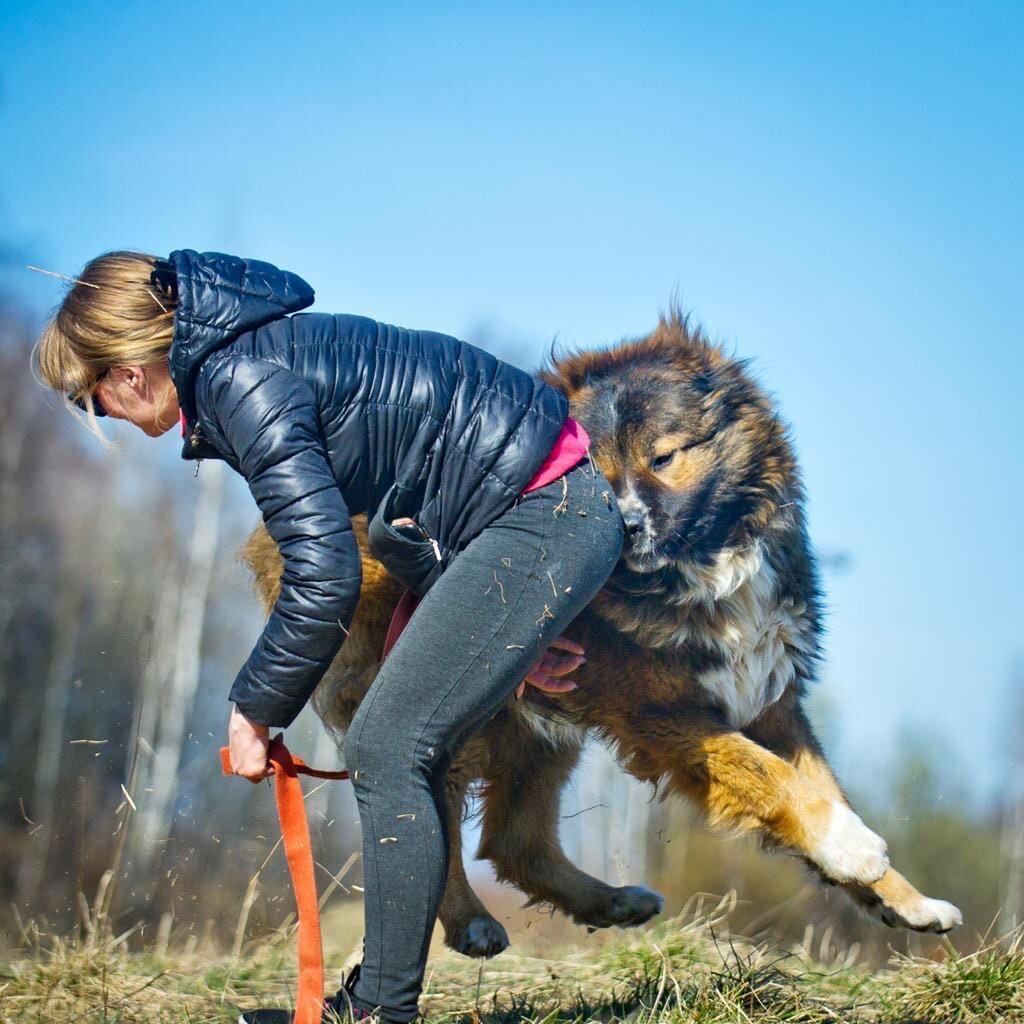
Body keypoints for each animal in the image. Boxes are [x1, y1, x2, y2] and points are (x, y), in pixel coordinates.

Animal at [239, 307, 958, 954]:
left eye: (664, 457)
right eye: (593, 470)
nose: (628, 526)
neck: (697, 574)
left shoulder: (770, 697)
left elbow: (818, 782)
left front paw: (904, 899)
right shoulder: (660, 712)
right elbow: (769, 775)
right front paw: (852, 847)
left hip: (536, 720)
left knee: (514, 842)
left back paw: (609, 900)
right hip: (438, 695)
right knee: (416, 809)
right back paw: (469, 920)